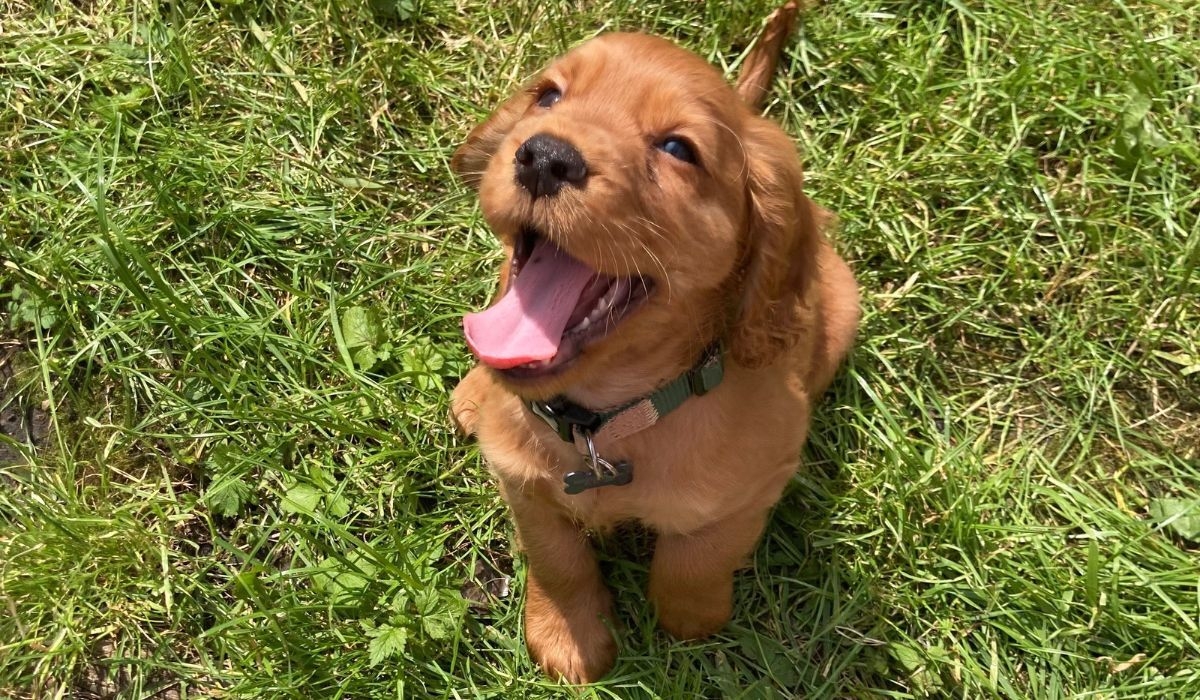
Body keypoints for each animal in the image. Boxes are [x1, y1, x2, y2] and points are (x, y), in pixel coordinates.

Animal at [451, 27, 864, 686]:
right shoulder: (519, 481)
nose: (544, 157)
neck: (603, 421)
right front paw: (567, 634)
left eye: (677, 148)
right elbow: (556, 557)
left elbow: (695, 558)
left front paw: (690, 620)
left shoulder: (759, 482)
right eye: (548, 96)